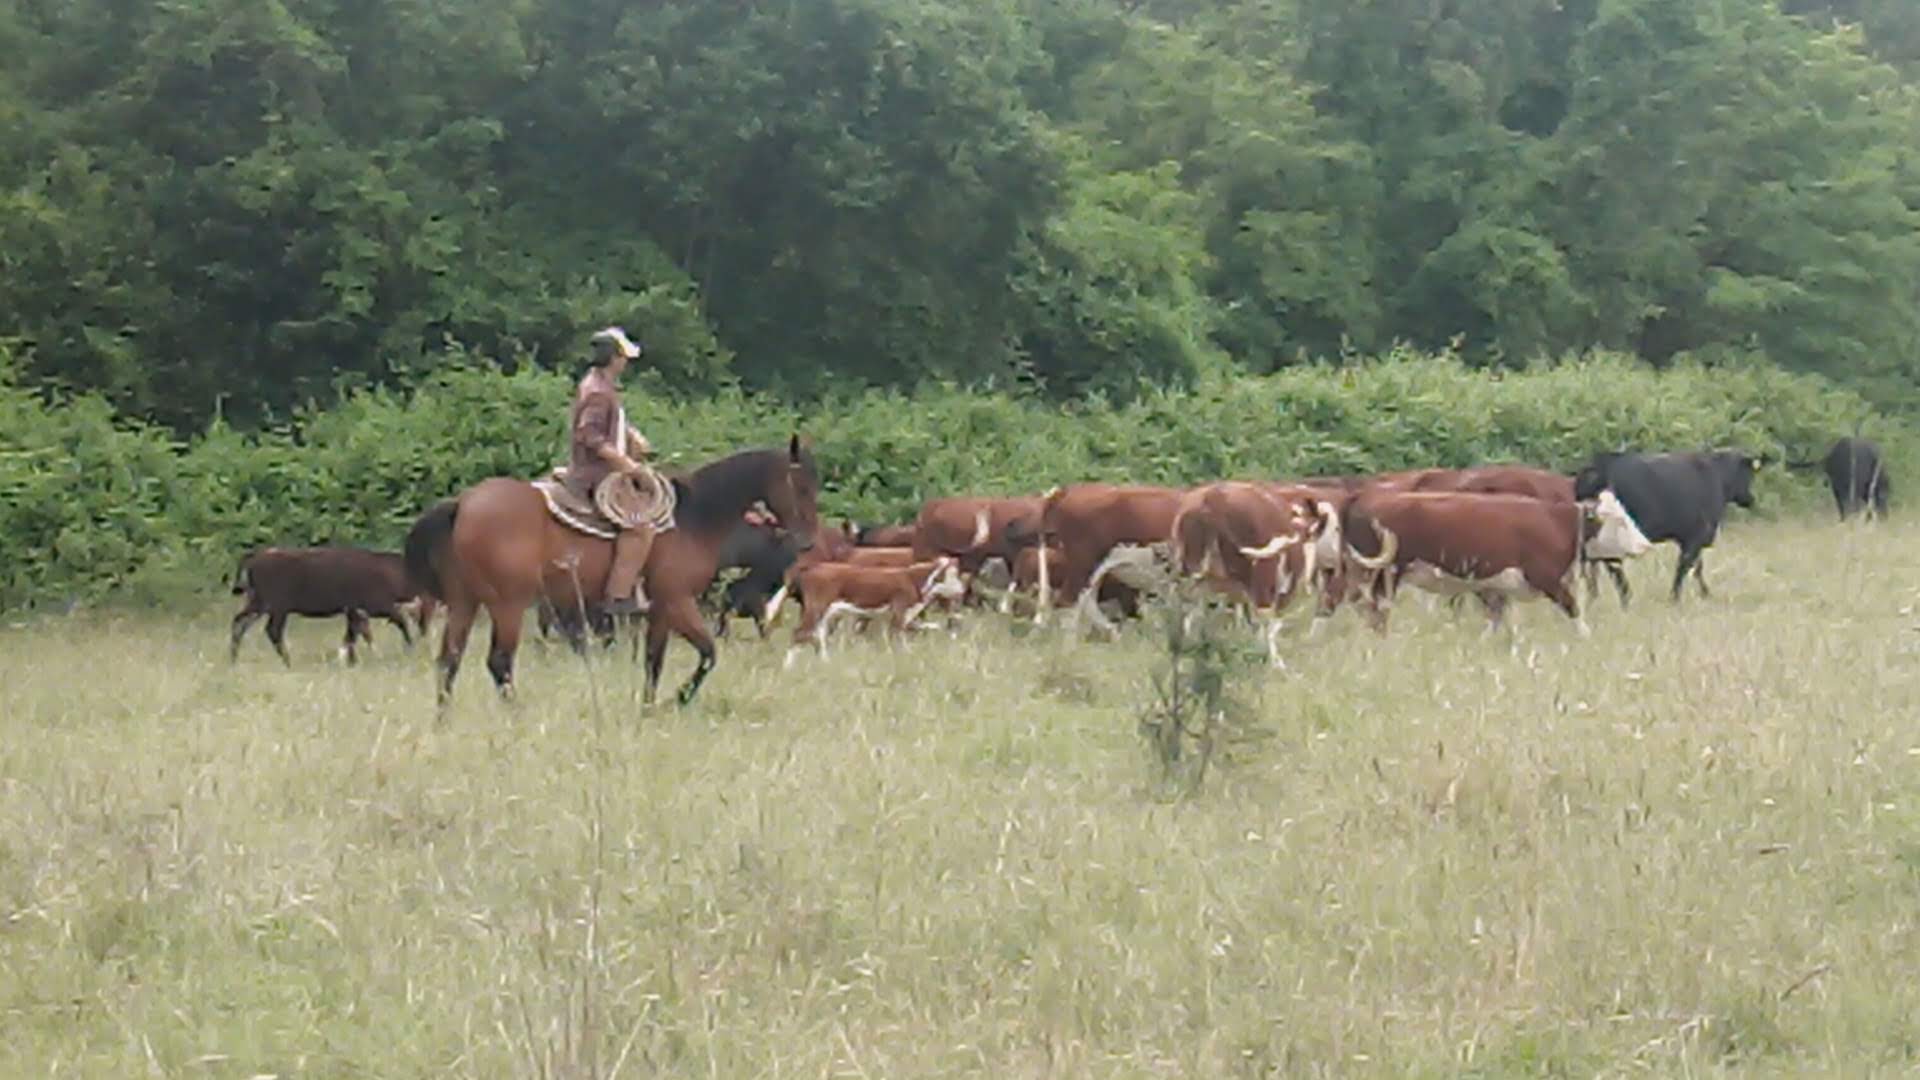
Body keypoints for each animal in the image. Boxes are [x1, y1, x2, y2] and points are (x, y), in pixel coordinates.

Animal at [404, 436, 821, 707]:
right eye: (801, 487)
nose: (808, 541)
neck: (693, 519)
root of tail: (464, 503)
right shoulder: (677, 600)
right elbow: (708, 654)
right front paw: (680, 698)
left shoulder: (659, 612)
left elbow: (654, 662)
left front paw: (649, 708)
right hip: (508, 604)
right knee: (499, 662)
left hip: (465, 602)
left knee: (449, 659)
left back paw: (444, 718)